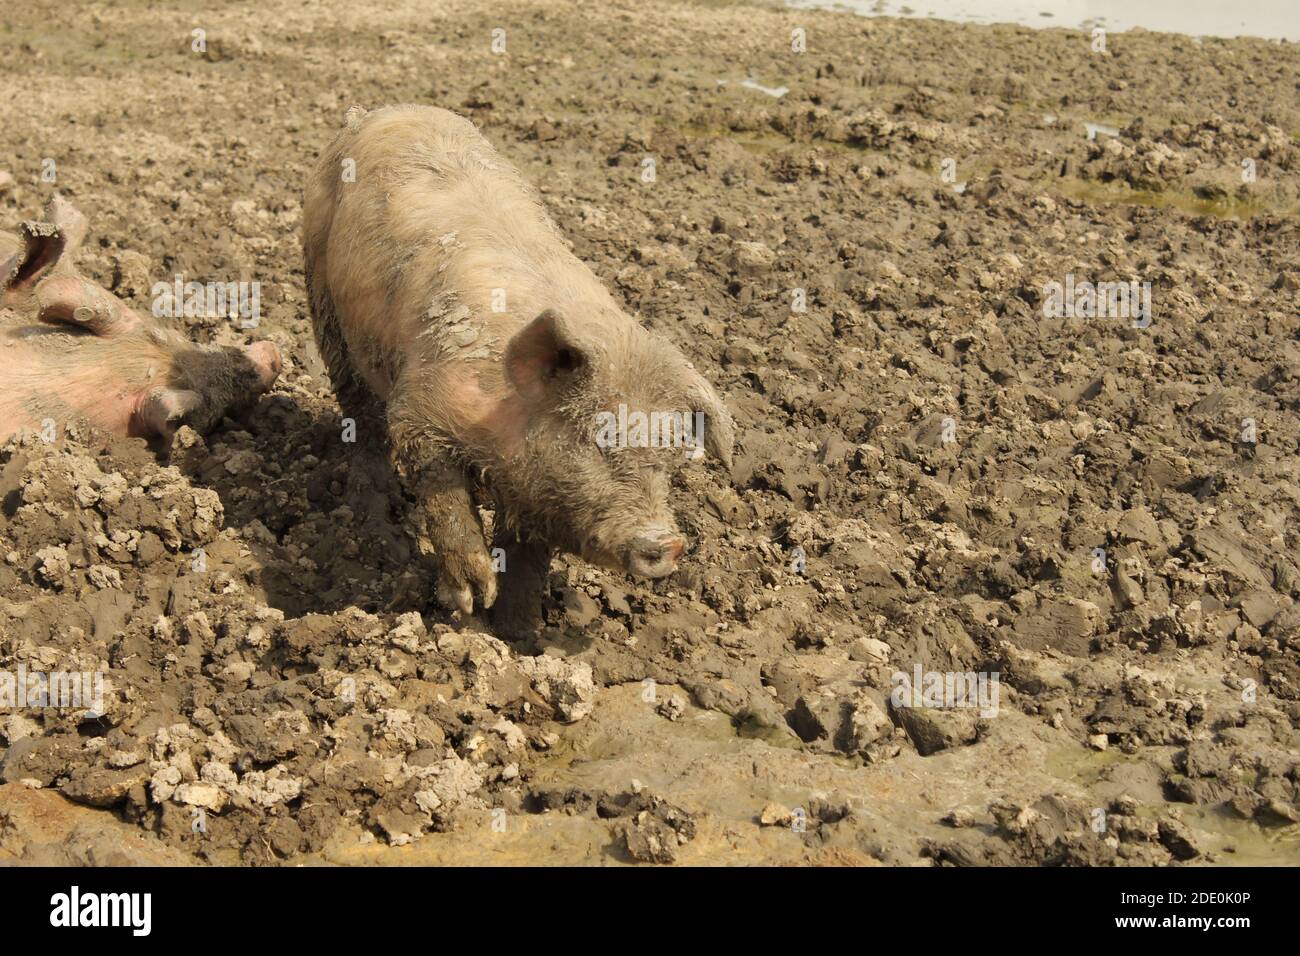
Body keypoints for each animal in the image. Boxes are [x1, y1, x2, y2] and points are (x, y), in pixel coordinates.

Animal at [299, 106, 738, 629]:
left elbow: (529, 558)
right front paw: (471, 601)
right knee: (356, 406)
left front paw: (517, 631)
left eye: (670, 457)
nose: (669, 542)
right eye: (599, 438)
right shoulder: (420, 405)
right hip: (320, 288)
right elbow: (440, 486)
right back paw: (373, 501)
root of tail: (375, 112)